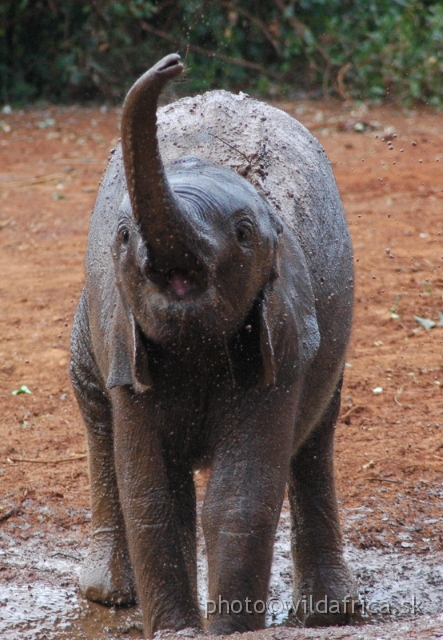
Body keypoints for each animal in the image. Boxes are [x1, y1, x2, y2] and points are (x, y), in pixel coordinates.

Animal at [71, 53, 360, 636]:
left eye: (244, 234)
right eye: (123, 236)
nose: (171, 62)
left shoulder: (282, 341)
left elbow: (239, 496)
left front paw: (231, 630)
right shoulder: (124, 335)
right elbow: (153, 492)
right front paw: (180, 632)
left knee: (316, 437)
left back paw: (332, 613)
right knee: (95, 409)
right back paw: (109, 594)